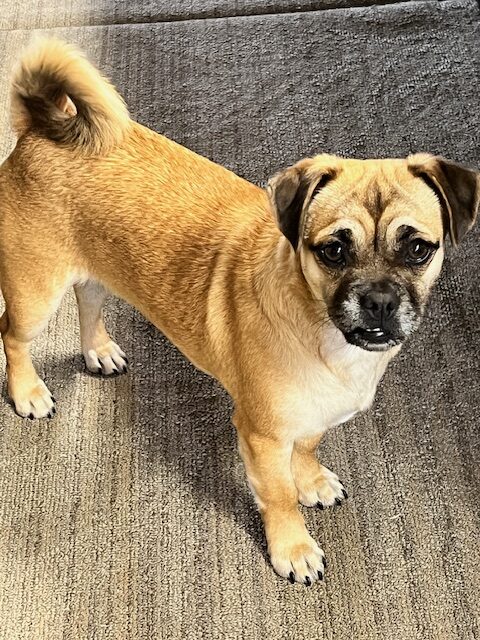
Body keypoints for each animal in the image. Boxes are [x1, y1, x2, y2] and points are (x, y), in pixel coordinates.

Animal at [0, 39, 478, 586]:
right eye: (333, 251)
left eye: (418, 249)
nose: (378, 300)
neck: (324, 336)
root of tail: (43, 126)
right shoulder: (262, 436)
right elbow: (279, 497)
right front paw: (293, 548)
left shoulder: (307, 418)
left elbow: (308, 446)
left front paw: (311, 480)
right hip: (35, 296)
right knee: (12, 336)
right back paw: (28, 392)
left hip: (96, 273)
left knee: (87, 301)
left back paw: (97, 351)